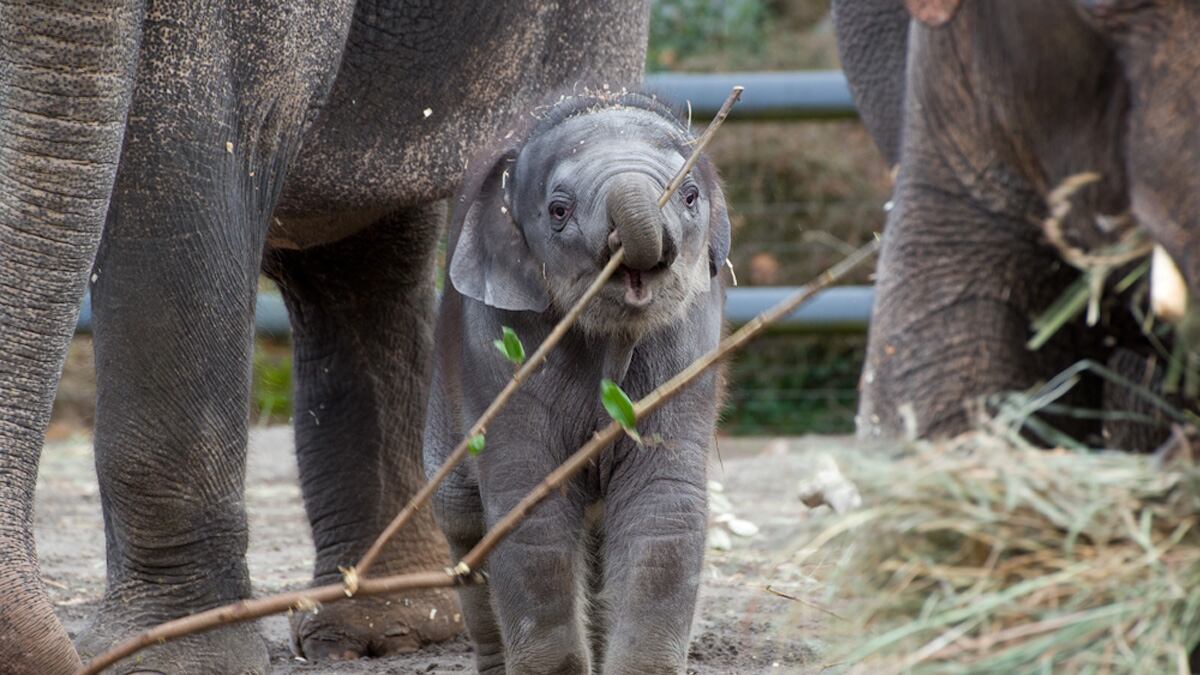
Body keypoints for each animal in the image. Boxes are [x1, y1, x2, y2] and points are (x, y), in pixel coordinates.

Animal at [425, 91, 729, 673]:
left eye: (691, 196)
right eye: (558, 211)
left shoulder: (689, 349)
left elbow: (663, 506)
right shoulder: (500, 347)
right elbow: (529, 515)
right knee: (460, 517)